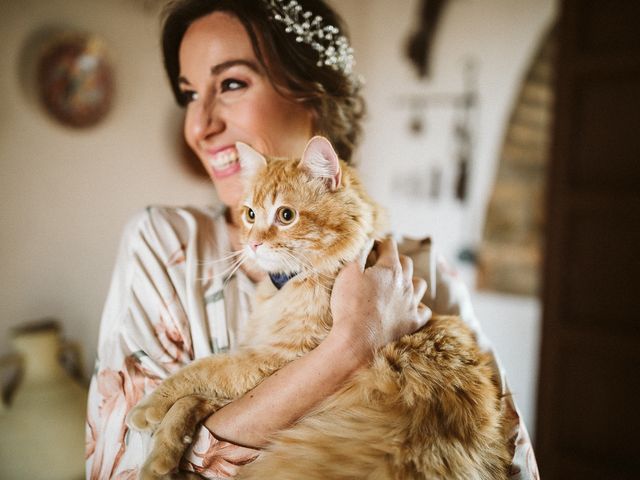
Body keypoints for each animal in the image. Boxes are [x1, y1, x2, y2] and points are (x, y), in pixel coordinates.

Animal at [129, 137, 510, 478]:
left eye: (286, 215)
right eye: (250, 214)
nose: (253, 244)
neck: (288, 286)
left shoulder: (279, 357)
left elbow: (203, 371)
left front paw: (147, 408)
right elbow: (195, 400)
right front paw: (160, 458)